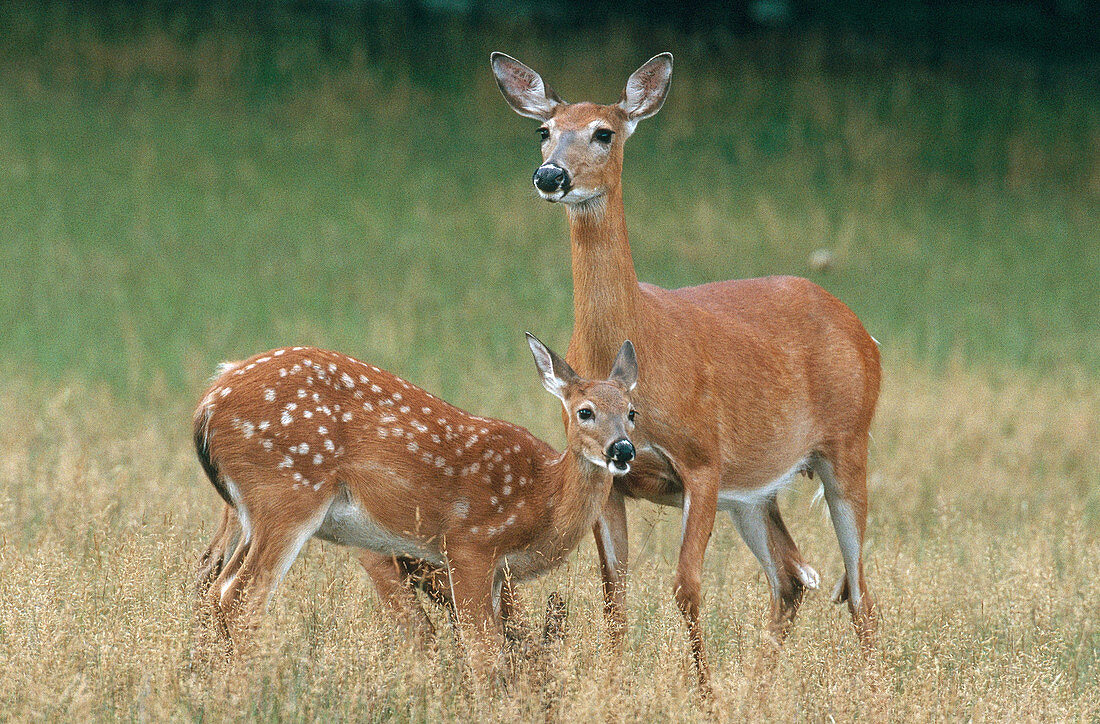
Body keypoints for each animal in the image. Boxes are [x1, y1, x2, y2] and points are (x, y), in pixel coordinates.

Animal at [193, 334, 642, 668]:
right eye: (585, 411)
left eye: (632, 411)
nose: (622, 449)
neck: (541, 498)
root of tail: (208, 401)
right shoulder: (469, 544)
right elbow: (483, 653)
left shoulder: (495, 571)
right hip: (288, 497)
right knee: (240, 600)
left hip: (252, 512)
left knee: (215, 590)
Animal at [492, 52, 884, 686]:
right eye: (543, 131)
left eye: (604, 132)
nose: (550, 176)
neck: (635, 343)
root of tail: (864, 333)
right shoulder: (606, 475)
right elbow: (614, 593)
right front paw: (613, 686)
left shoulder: (703, 459)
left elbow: (685, 586)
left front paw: (703, 690)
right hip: (754, 490)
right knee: (793, 577)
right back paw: (758, 689)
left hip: (848, 443)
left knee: (858, 590)